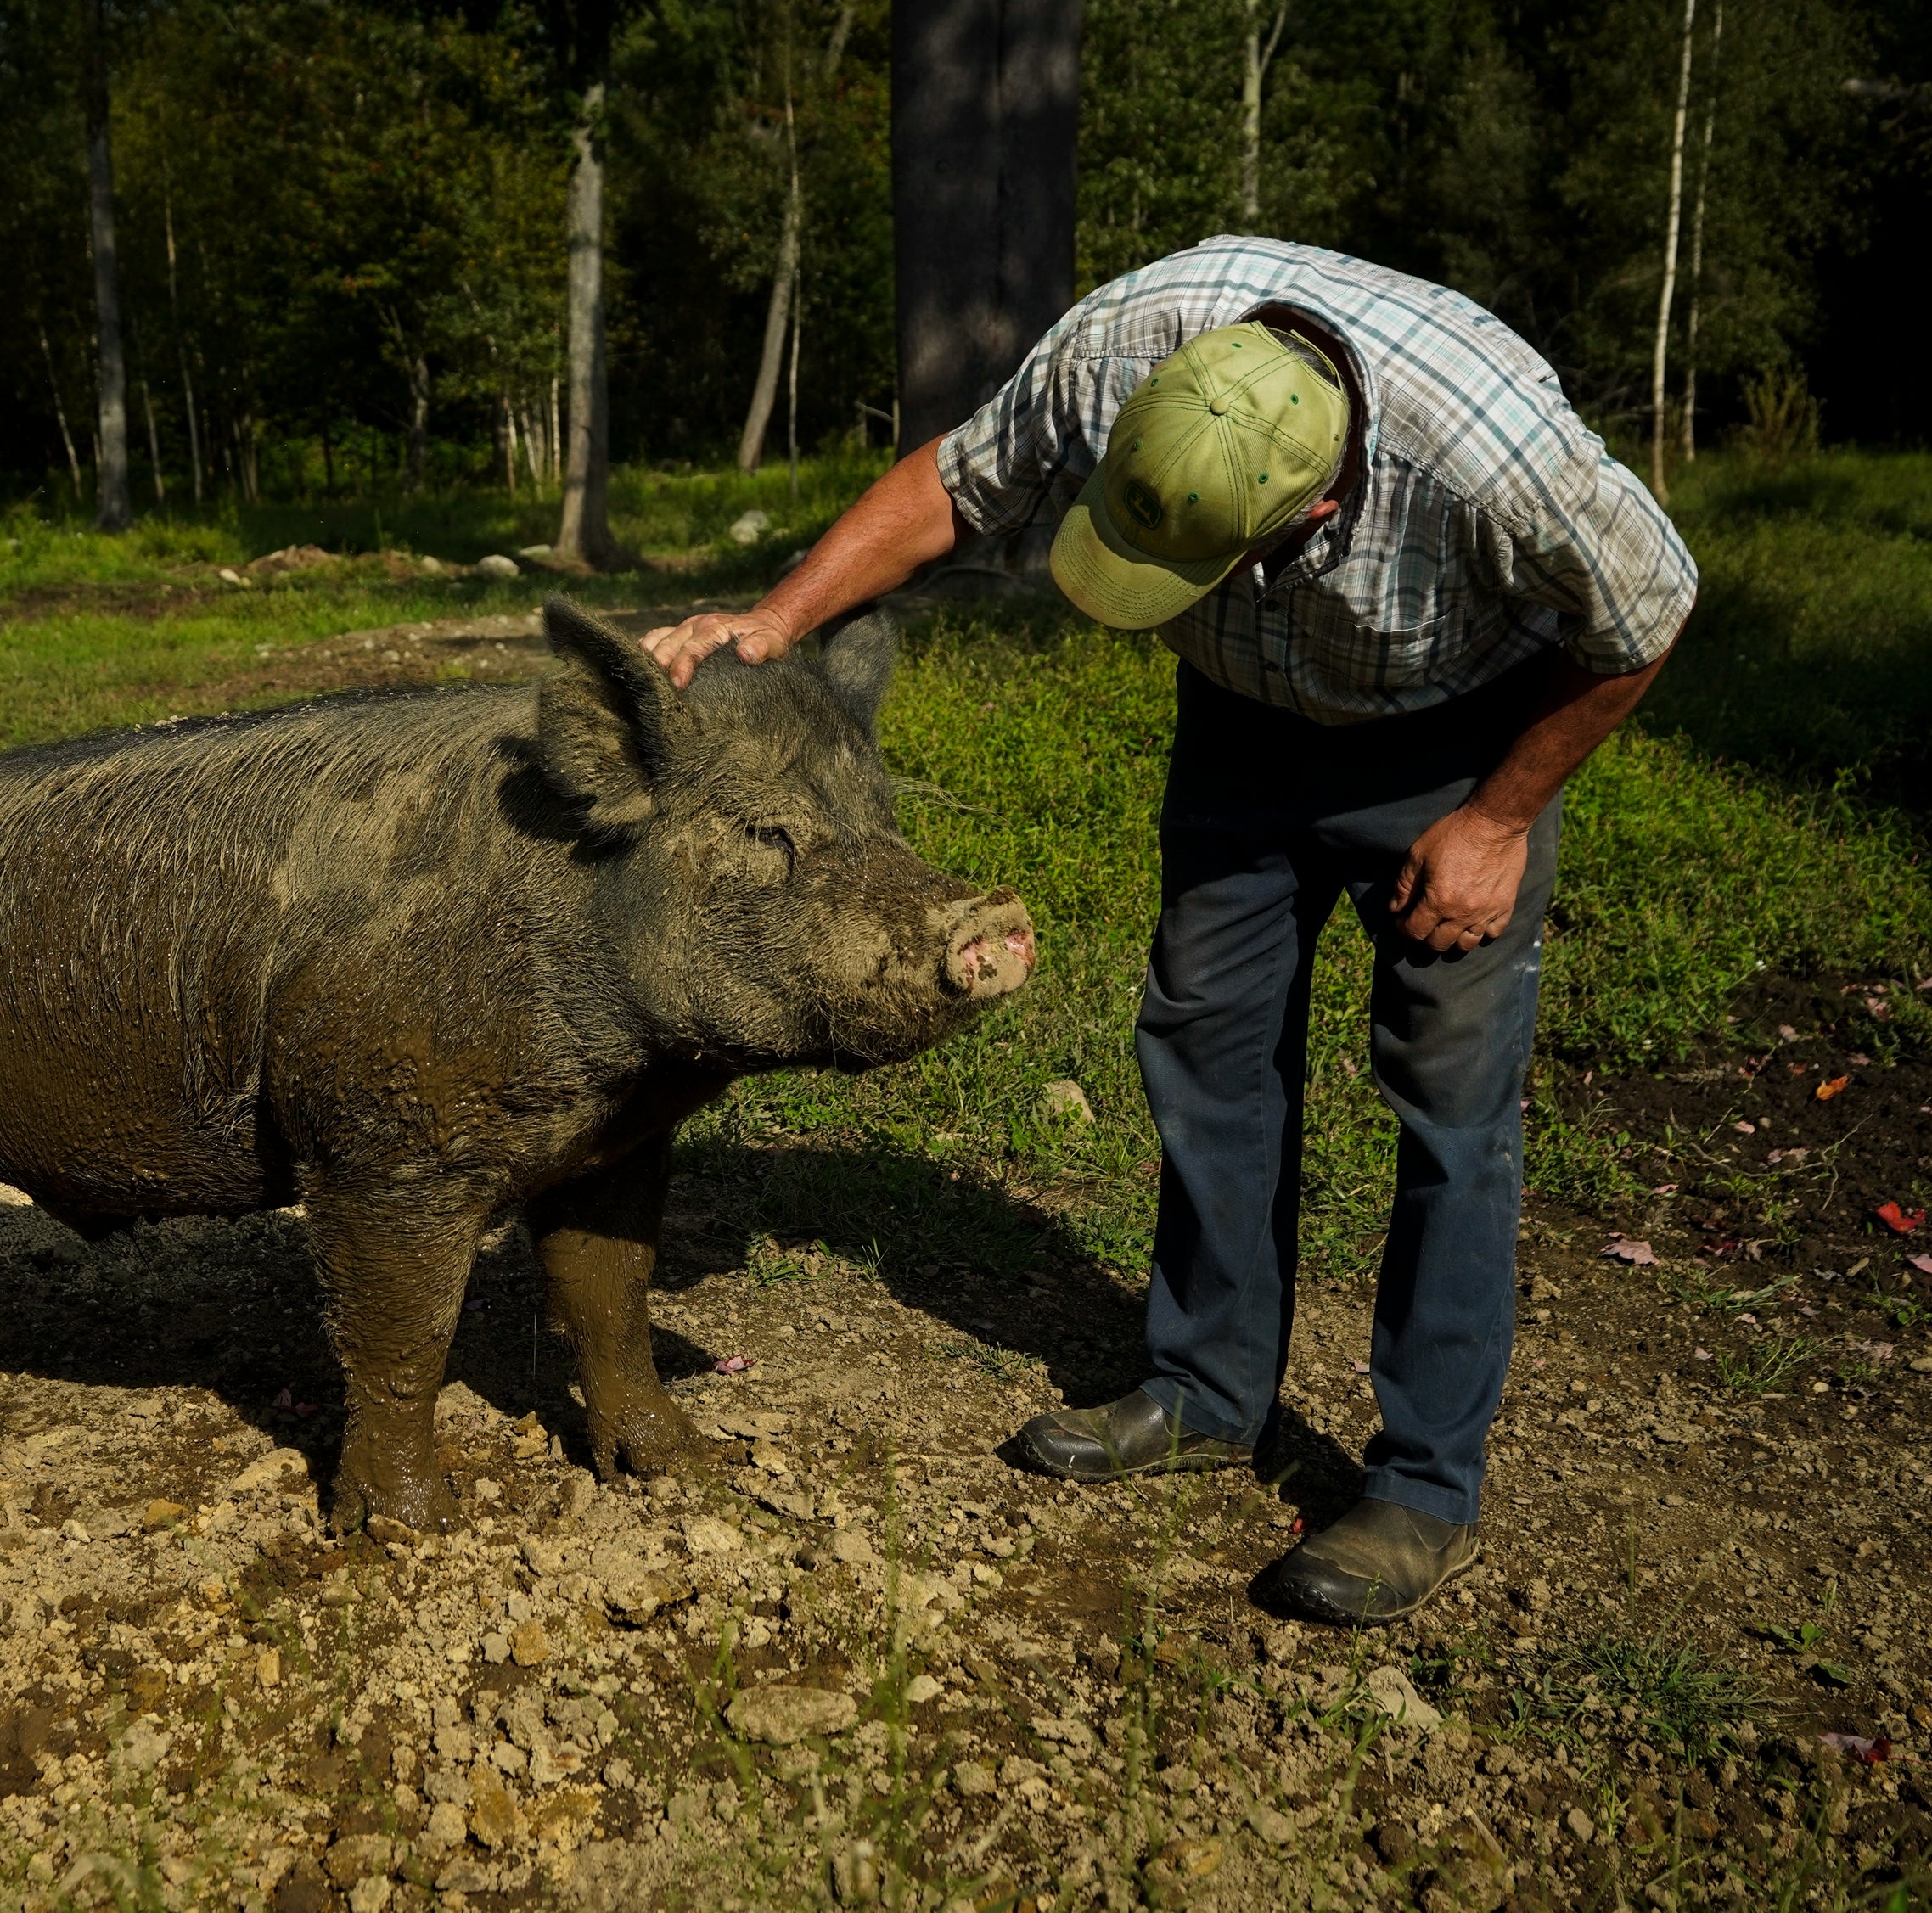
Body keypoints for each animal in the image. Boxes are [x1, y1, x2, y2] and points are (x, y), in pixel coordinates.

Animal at [0, 606, 1035, 1538]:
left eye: (886, 821)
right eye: (764, 833)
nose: (995, 916)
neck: (623, 1068)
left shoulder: (613, 1147)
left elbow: (610, 1300)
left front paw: (682, 1469)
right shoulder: (376, 1144)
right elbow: (402, 1336)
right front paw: (416, 1532)